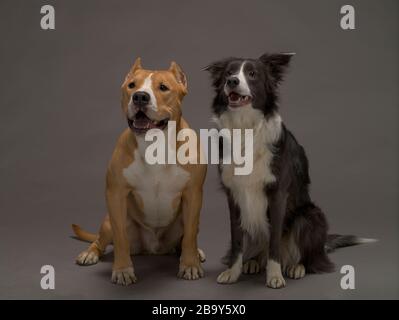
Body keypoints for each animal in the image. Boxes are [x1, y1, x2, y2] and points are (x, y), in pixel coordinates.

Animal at [72, 58, 208, 286]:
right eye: (131, 85)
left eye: (163, 87)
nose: (140, 97)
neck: (154, 143)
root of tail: (153, 249)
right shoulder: (115, 194)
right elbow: (120, 239)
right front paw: (122, 269)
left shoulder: (193, 194)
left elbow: (189, 236)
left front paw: (190, 264)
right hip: (108, 222)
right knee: (101, 240)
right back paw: (90, 253)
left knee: (187, 238)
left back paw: (194, 252)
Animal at [205, 52, 376, 288]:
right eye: (229, 73)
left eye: (252, 74)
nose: (232, 81)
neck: (245, 129)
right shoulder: (233, 195)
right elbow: (237, 240)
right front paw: (233, 272)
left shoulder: (278, 194)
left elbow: (275, 241)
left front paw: (275, 275)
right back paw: (253, 262)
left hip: (310, 216)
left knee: (310, 258)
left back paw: (296, 266)